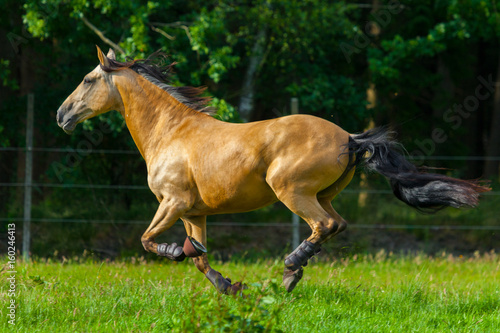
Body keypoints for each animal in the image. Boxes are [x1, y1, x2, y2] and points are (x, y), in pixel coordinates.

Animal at [55, 46, 488, 294]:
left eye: (88, 79)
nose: (62, 115)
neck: (171, 131)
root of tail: (349, 137)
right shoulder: (193, 212)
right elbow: (199, 257)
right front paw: (228, 286)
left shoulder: (172, 203)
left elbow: (147, 240)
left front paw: (174, 252)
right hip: (322, 194)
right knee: (337, 223)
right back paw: (293, 271)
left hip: (290, 191)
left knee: (325, 225)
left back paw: (290, 270)